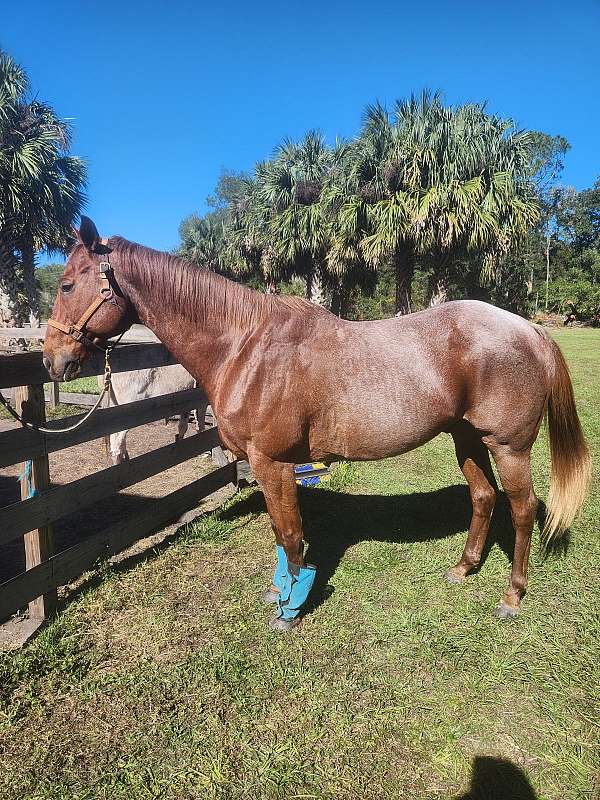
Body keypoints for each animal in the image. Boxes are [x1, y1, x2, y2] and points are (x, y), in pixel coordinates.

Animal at [43, 217, 591, 631]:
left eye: (68, 284)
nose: (53, 360)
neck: (246, 346)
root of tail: (530, 330)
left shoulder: (273, 463)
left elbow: (289, 535)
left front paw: (290, 607)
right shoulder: (272, 467)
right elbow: (281, 532)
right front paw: (281, 590)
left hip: (508, 446)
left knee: (523, 509)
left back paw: (513, 595)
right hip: (467, 437)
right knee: (482, 497)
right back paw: (463, 568)